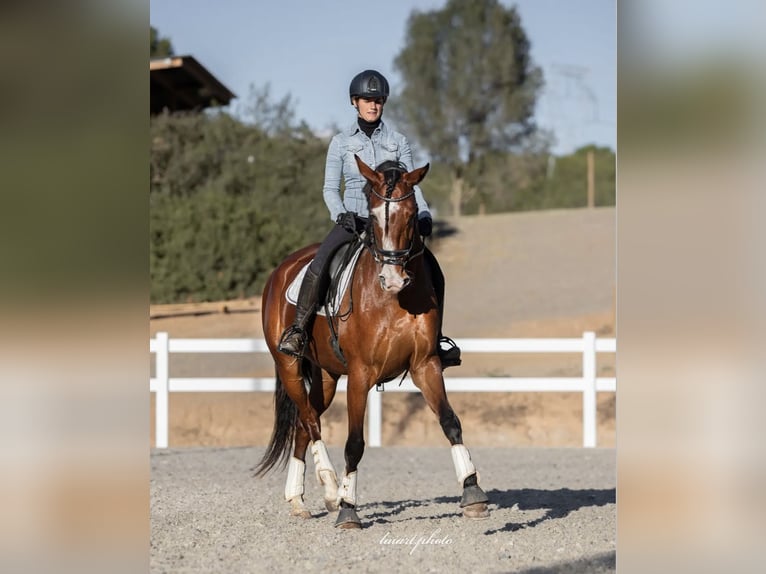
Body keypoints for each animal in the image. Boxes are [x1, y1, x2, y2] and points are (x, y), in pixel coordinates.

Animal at [254, 155, 489, 528]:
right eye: (373, 213)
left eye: (412, 212)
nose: (392, 279)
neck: (394, 300)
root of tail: (282, 269)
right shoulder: (361, 374)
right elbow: (354, 442)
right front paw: (348, 508)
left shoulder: (425, 365)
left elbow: (451, 422)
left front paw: (472, 491)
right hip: (290, 365)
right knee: (310, 420)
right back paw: (331, 488)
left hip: (326, 375)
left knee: (305, 423)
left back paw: (299, 499)